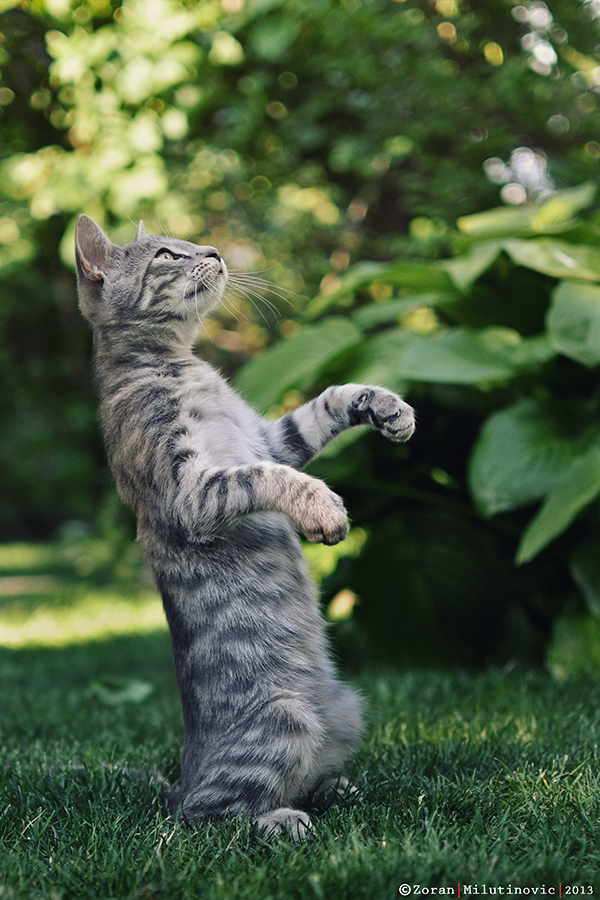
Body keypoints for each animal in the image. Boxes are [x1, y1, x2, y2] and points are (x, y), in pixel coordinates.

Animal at [75, 214, 414, 840]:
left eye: (187, 243)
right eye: (167, 255)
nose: (212, 251)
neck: (183, 367)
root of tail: (182, 780)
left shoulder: (271, 438)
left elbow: (324, 404)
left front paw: (385, 405)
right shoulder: (192, 490)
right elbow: (266, 476)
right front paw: (323, 508)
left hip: (345, 705)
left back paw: (332, 788)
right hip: (284, 719)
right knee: (209, 817)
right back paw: (281, 821)